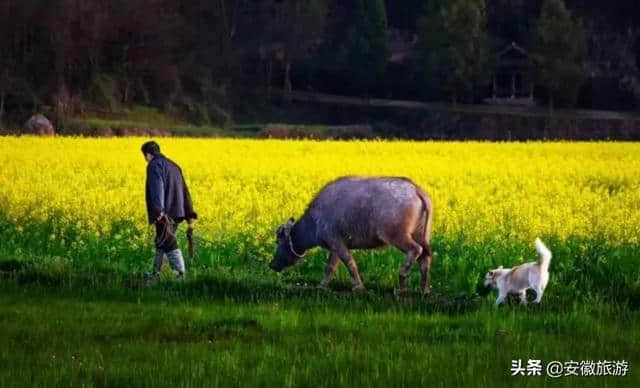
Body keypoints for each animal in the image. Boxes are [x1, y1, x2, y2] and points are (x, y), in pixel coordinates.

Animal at [270, 176, 436, 294]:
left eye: (278, 241)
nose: (272, 265)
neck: (314, 221)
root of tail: (416, 190)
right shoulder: (335, 247)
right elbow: (330, 267)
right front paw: (322, 286)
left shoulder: (337, 243)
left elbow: (350, 264)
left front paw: (358, 287)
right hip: (421, 234)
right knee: (425, 256)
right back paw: (424, 290)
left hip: (397, 235)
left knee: (415, 250)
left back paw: (402, 283)